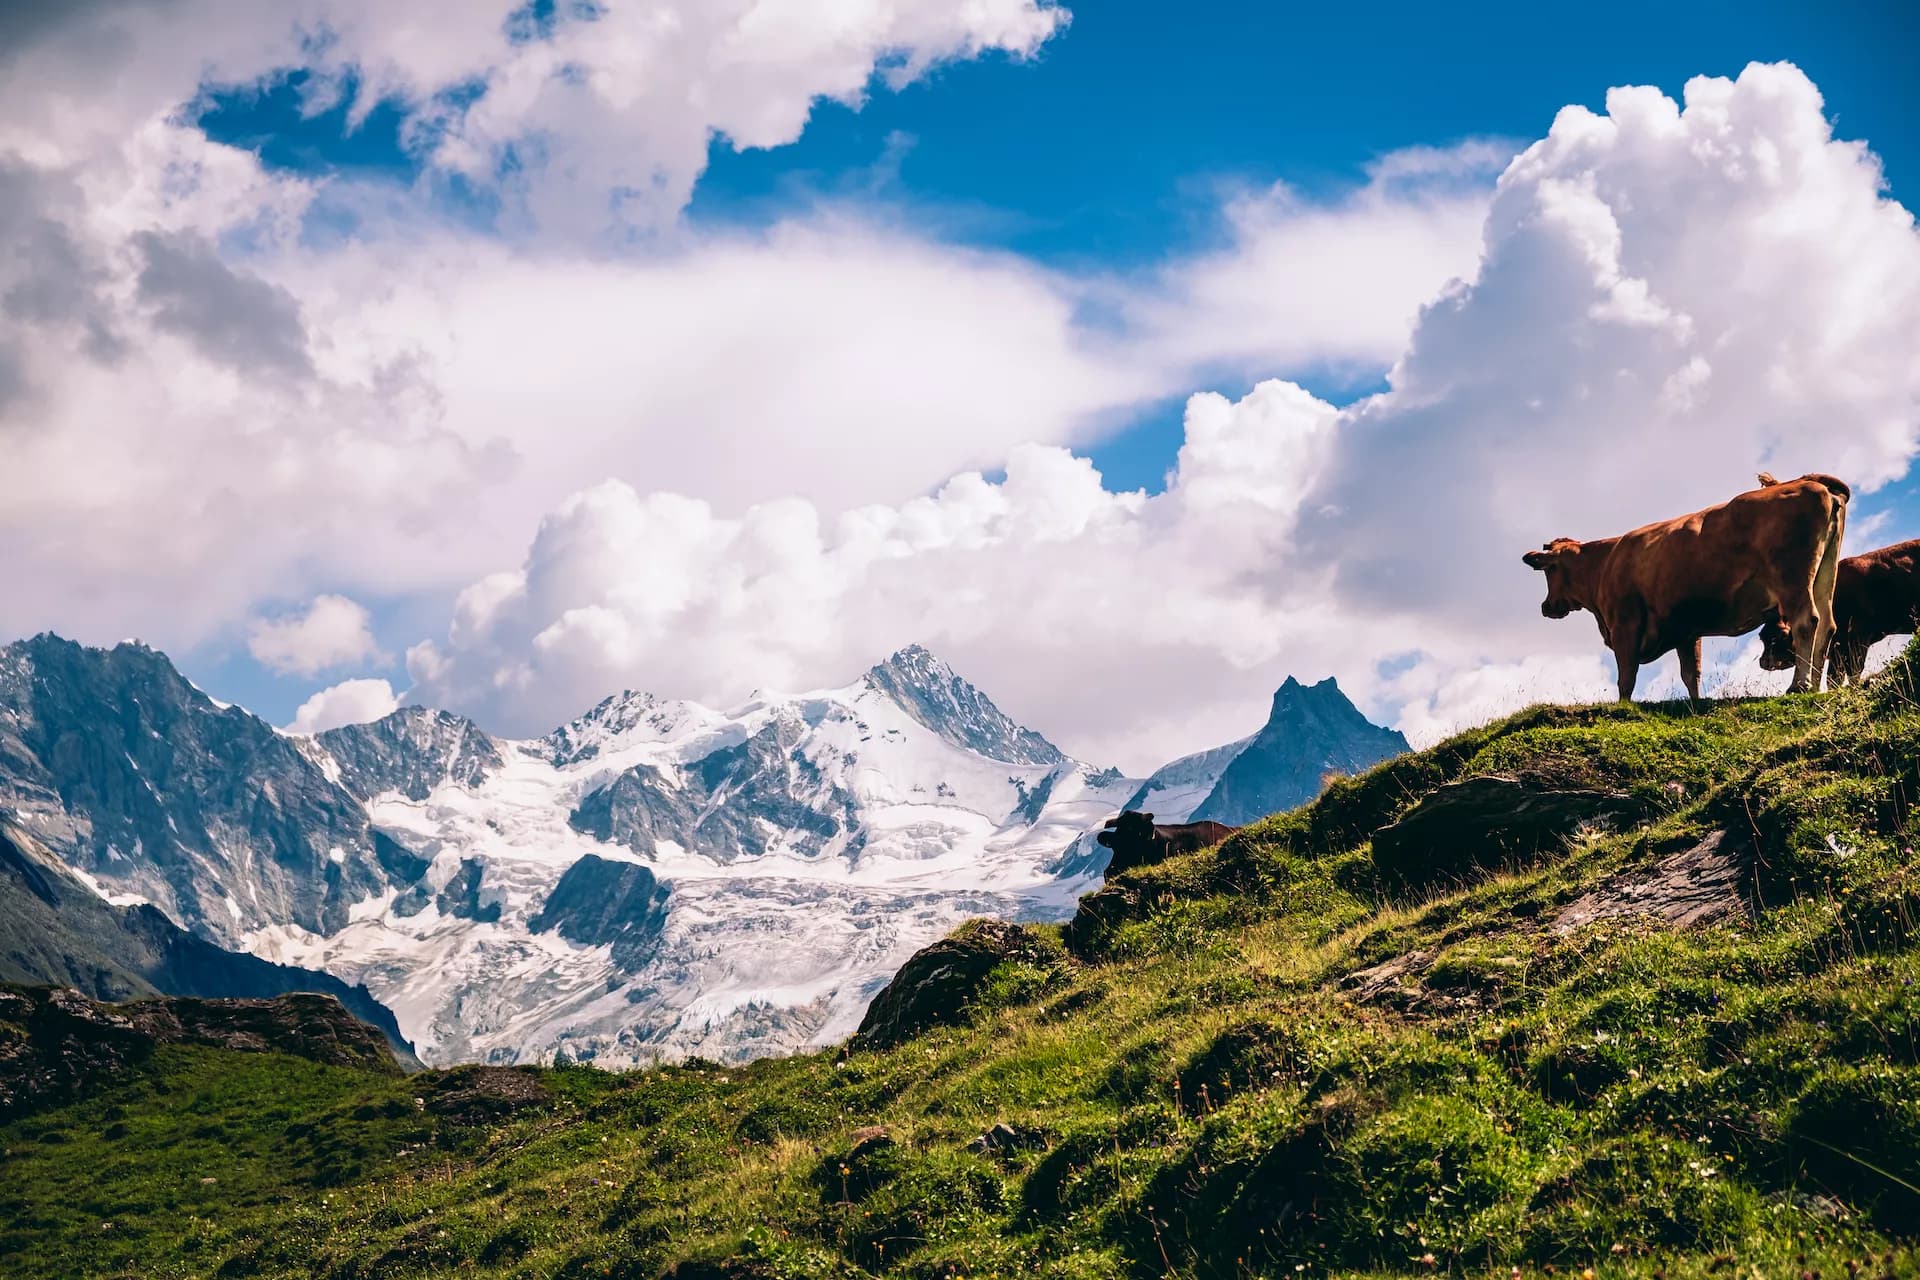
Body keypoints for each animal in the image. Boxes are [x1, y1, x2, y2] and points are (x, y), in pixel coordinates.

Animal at [1522, 472, 1850, 701]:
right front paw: (1695, 703)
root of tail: (1809, 482)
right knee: (1827, 626)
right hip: (1824, 576)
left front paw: (1623, 706)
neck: (1604, 563)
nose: (1546, 606)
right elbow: (1691, 673)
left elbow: (1626, 677)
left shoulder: (1625, 625)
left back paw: (1799, 685)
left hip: (1793, 579)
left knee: (1806, 622)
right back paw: (1816, 686)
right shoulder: (1687, 631)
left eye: (1549, 570)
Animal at [1756, 537, 1920, 686]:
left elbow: (1854, 671)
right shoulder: (1837, 651)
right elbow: (1833, 678)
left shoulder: (1858, 637)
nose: (1763, 661)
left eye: (1781, 635)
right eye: (1762, 637)